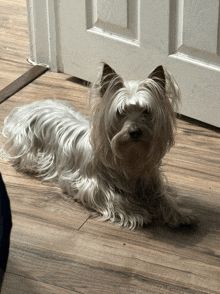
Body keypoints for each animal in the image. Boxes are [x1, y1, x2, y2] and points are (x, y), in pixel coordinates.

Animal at [0, 64, 195, 230]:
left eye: (146, 111)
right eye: (120, 112)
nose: (135, 132)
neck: (130, 155)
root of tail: (23, 108)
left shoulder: (149, 179)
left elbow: (163, 196)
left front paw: (179, 213)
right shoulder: (91, 184)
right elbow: (112, 197)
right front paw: (136, 213)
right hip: (28, 151)